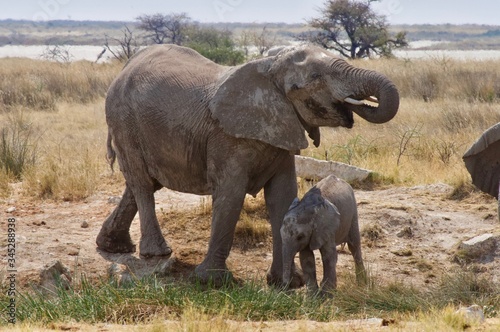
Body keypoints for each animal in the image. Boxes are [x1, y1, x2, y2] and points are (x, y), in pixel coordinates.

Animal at [97, 44, 400, 286]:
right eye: (314, 79)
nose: (359, 104)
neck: (269, 67)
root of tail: (125, 67)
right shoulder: (227, 137)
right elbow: (231, 195)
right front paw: (211, 282)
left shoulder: (281, 131)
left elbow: (282, 197)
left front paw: (287, 283)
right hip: (123, 120)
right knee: (142, 183)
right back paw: (156, 253)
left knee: (142, 183)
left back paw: (111, 246)